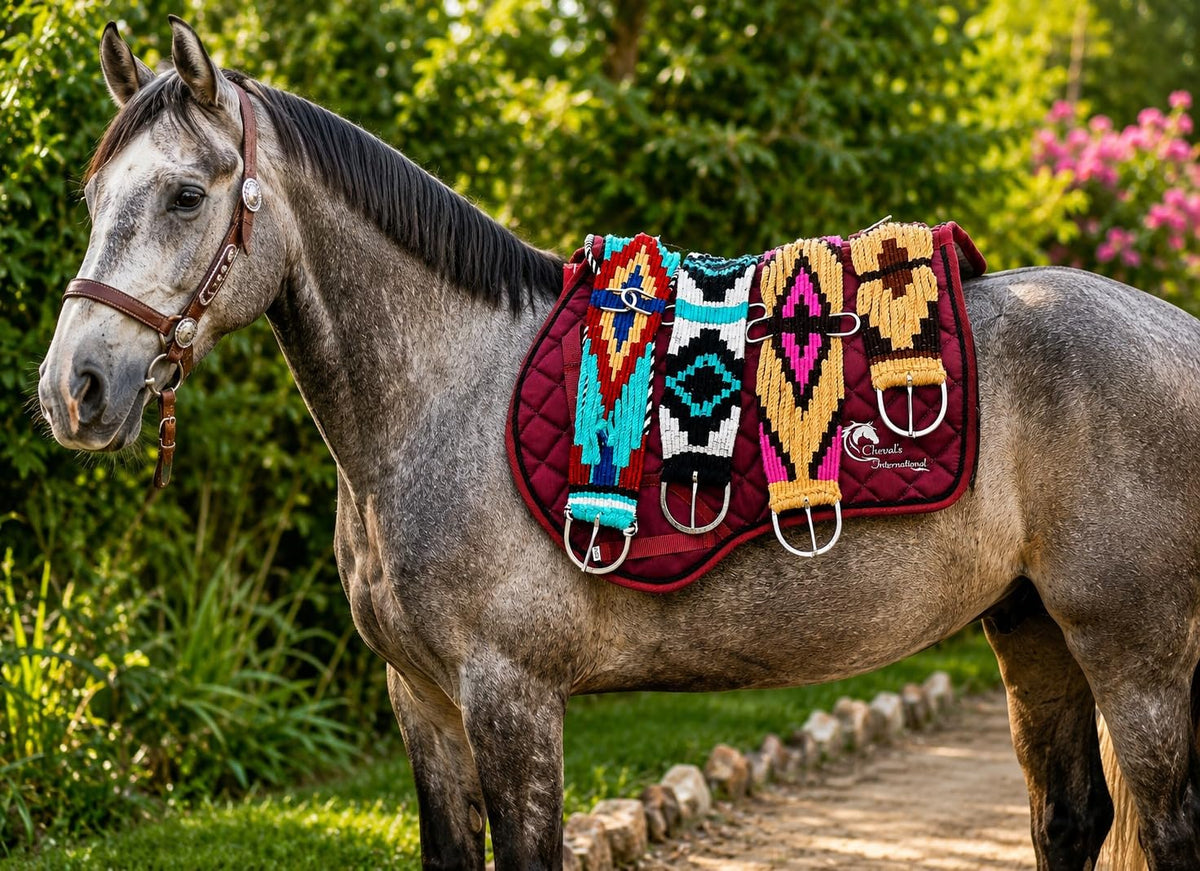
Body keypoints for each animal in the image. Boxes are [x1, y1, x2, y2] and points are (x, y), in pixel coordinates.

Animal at [37, 17, 1200, 870]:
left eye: (187, 194)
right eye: (92, 195)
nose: (73, 389)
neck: (448, 393)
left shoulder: (512, 699)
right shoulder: (422, 703)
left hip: (1137, 655)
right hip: (1034, 630)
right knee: (1070, 819)